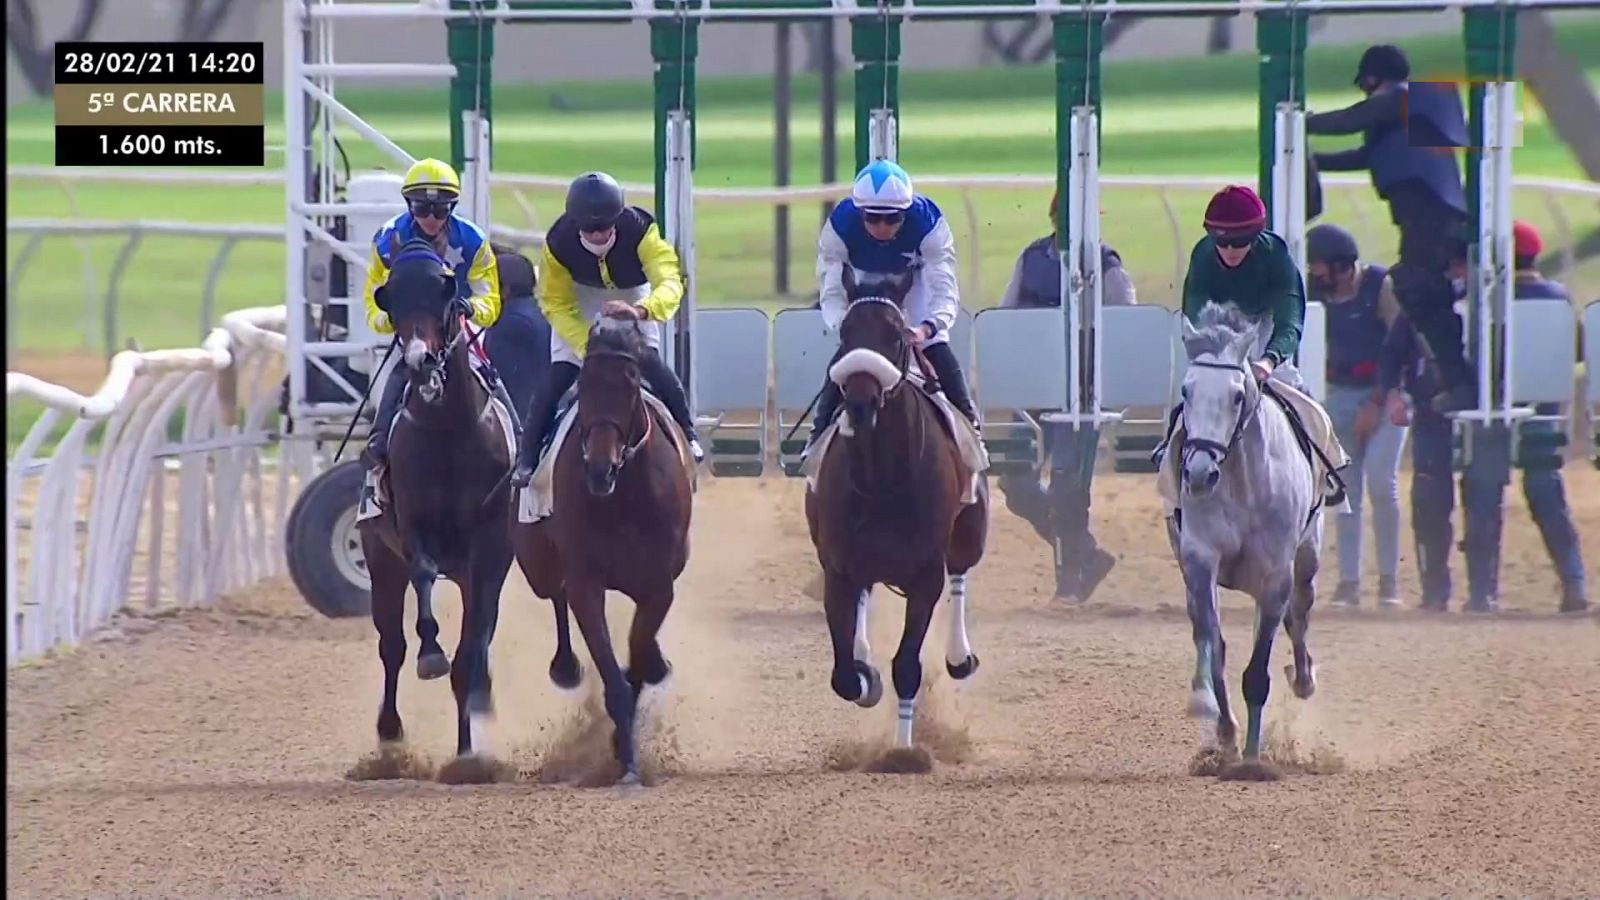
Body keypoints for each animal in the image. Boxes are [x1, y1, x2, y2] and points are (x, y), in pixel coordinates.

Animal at [360, 237, 515, 755]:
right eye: (392, 300)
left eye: (445, 296)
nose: (419, 360)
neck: (448, 431)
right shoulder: (412, 526)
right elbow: (424, 576)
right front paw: (431, 652)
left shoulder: (489, 547)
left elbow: (472, 649)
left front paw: (468, 749)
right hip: (380, 560)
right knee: (390, 646)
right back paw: (389, 729)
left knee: (477, 639)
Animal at [508, 312, 691, 781]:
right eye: (585, 383)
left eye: (631, 382)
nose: (599, 469)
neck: (624, 494)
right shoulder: (587, 584)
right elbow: (612, 671)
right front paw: (626, 761)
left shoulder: (660, 583)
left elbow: (640, 649)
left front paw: (654, 666)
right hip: (537, 564)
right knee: (555, 596)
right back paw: (566, 667)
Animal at [800, 265, 985, 749]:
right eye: (845, 334)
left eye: (897, 337)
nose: (861, 403)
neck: (881, 478)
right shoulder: (839, 568)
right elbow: (844, 677)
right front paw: (866, 676)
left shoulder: (924, 576)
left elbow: (907, 666)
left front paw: (903, 752)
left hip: (970, 530)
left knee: (960, 573)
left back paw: (959, 655)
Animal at [1171, 302, 1318, 771]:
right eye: (1187, 391)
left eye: (1238, 395)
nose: (1200, 473)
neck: (1244, 482)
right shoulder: (1199, 561)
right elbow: (1215, 648)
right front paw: (1227, 735)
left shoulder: (1276, 576)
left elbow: (1257, 670)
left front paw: (1253, 759)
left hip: (1306, 561)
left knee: (1299, 616)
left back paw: (1303, 678)